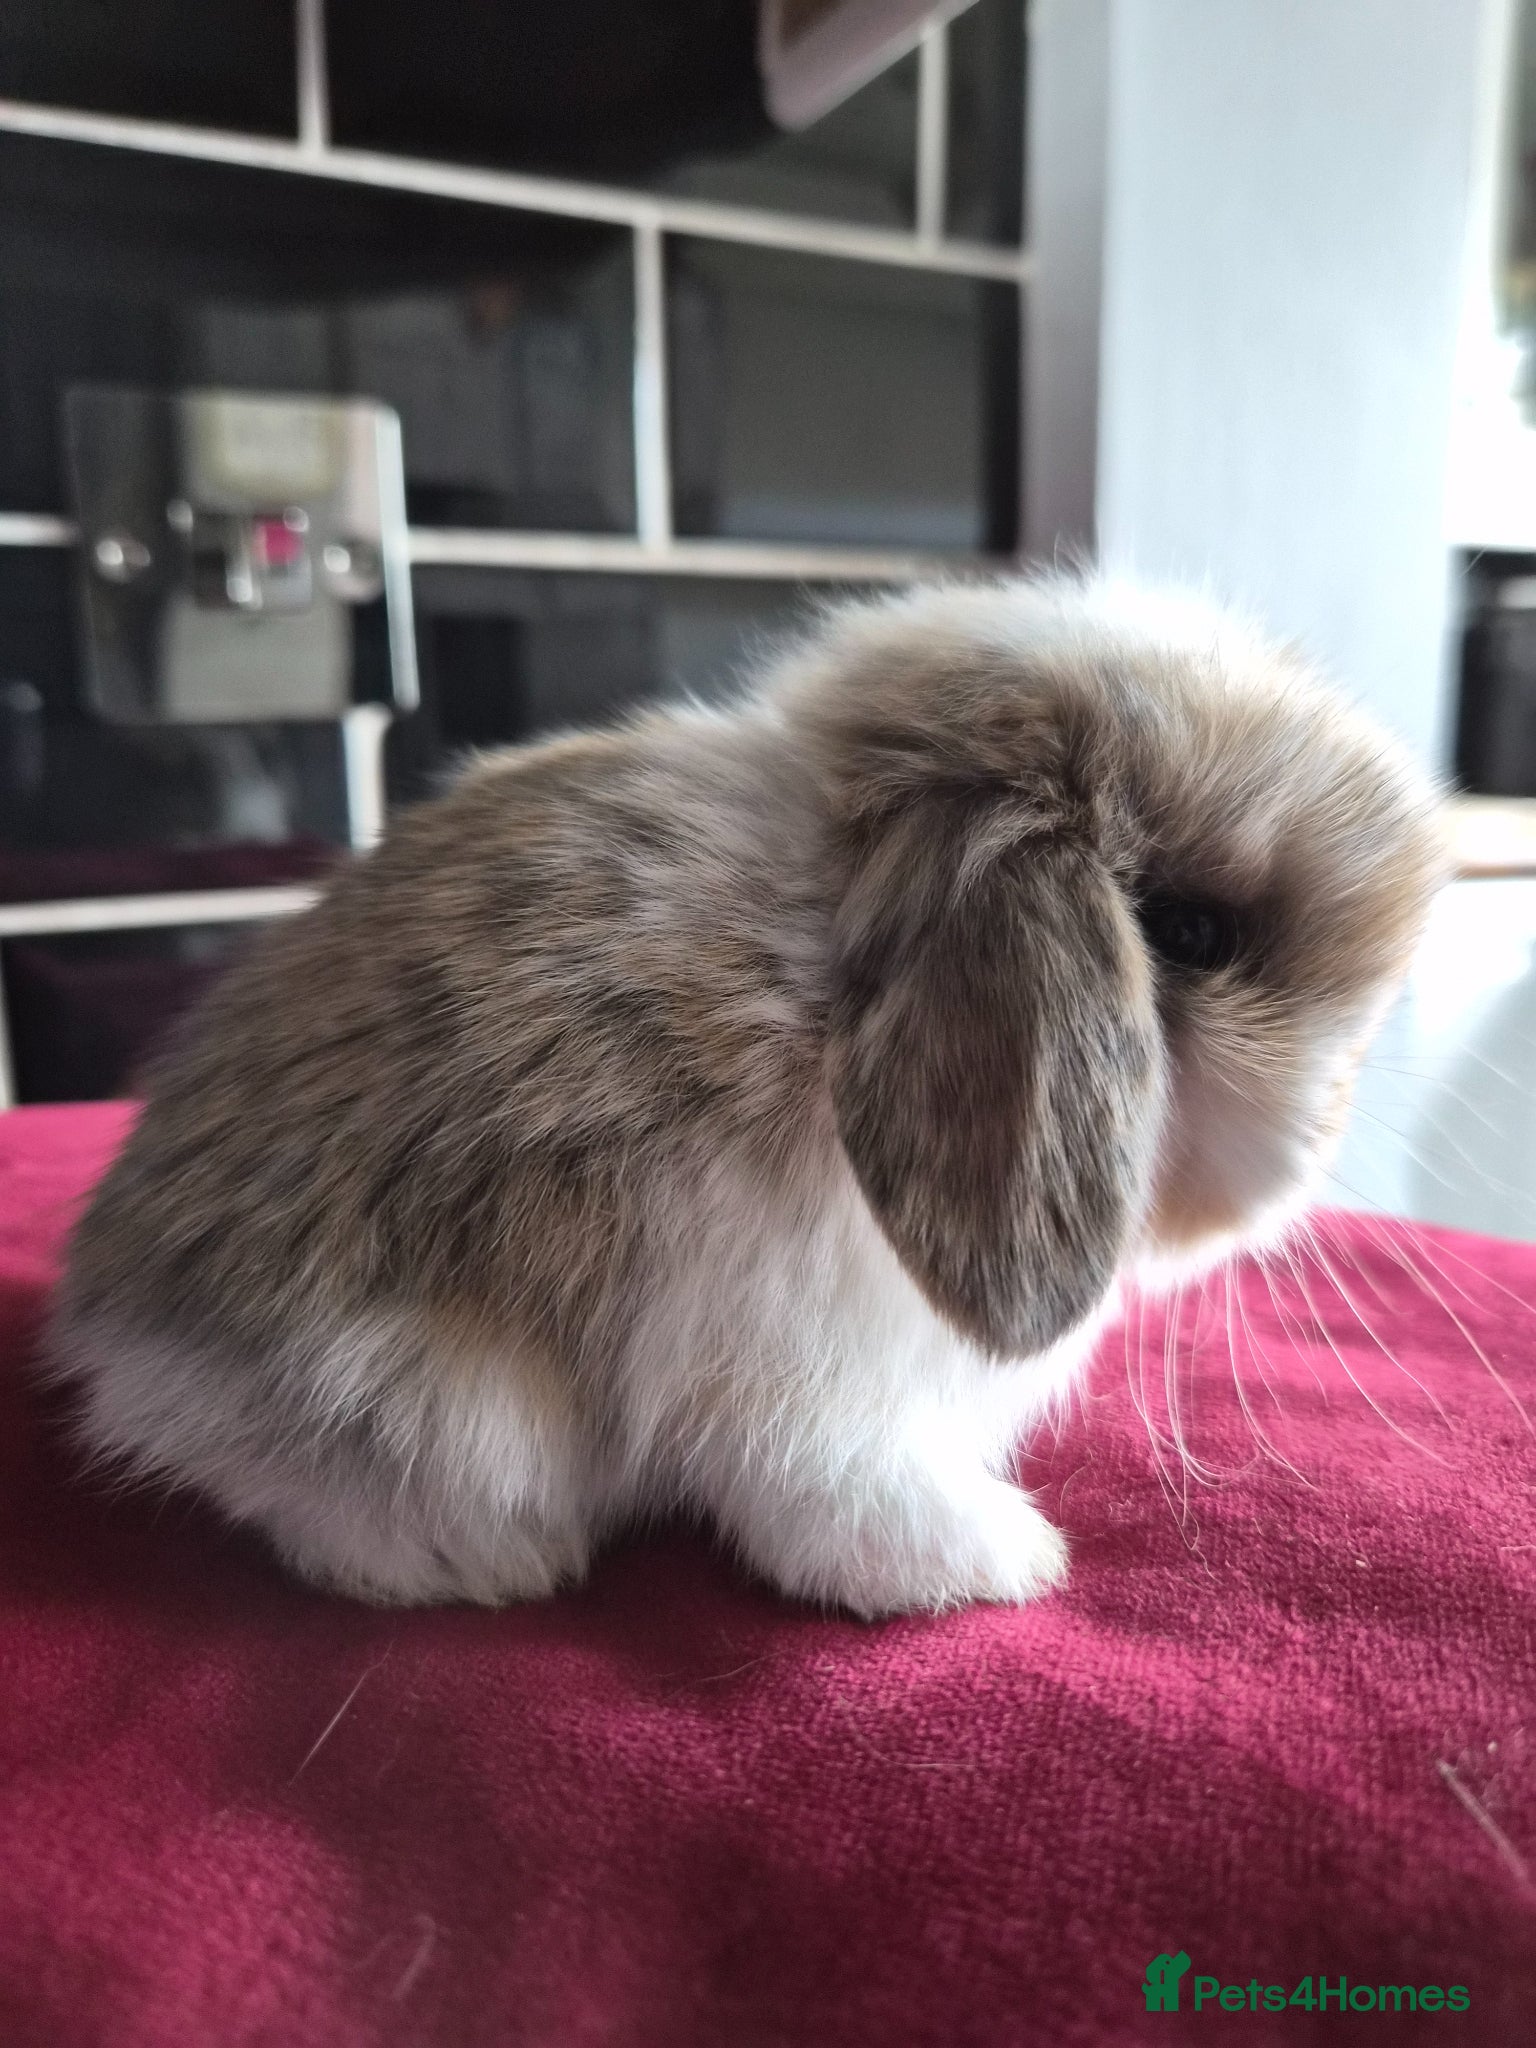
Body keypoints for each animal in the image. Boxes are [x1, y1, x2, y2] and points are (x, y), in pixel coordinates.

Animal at [51, 575, 1447, 1616]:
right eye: (1192, 933)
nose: (1319, 1139)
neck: (816, 982)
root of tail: (113, 1318)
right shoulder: (786, 1359)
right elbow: (821, 1476)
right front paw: (994, 1563)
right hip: (417, 1389)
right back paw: (483, 1561)